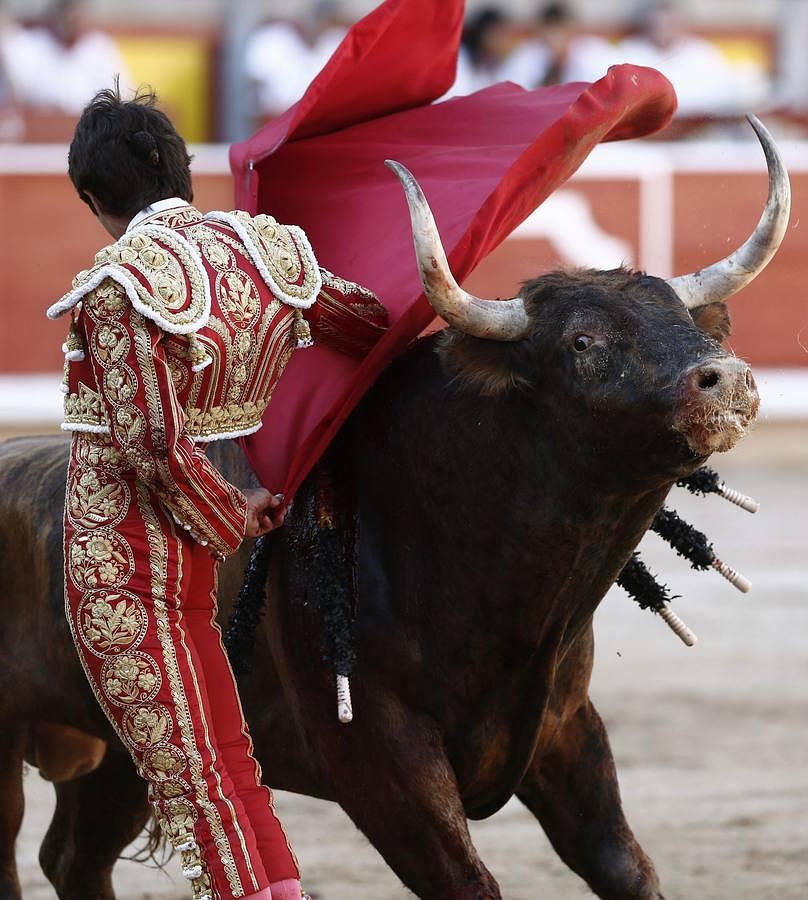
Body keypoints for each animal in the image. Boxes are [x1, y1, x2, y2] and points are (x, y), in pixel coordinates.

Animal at [0, 114, 788, 900]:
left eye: (694, 326)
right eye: (582, 340)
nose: (726, 380)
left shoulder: (566, 730)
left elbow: (625, 866)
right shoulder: (381, 760)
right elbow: (469, 882)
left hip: (113, 754)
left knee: (76, 856)